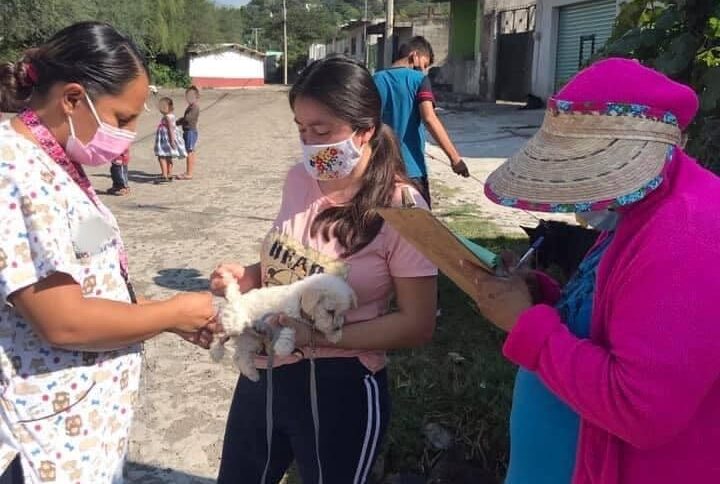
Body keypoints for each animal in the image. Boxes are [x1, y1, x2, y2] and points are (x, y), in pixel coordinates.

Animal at [211, 272, 358, 382]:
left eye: (343, 313)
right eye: (330, 311)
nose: (337, 328)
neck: (300, 299)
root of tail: (235, 298)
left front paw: (335, 335)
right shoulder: (284, 317)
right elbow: (288, 331)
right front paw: (283, 348)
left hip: (249, 339)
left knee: (239, 356)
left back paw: (253, 375)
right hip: (235, 326)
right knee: (221, 336)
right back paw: (216, 353)